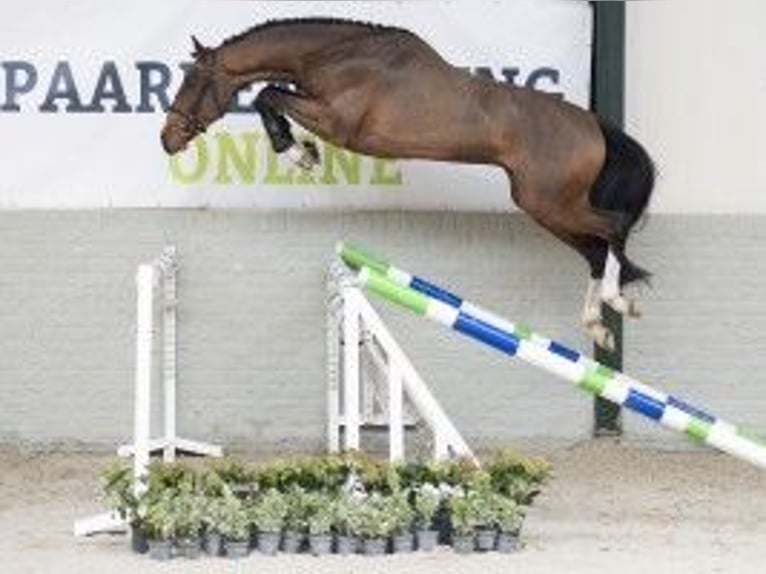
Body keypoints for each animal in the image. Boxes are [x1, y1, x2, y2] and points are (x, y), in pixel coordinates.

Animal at [160, 16, 656, 352]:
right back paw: (597, 325)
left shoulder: (337, 122)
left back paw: (617, 301)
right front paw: (301, 151)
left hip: (550, 202)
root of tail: (594, 126)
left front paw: (300, 152)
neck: (337, 55)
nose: (168, 139)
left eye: (195, 80)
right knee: (596, 252)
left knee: (612, 228)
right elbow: (271, 96)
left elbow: (268, 95)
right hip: (544, 206)